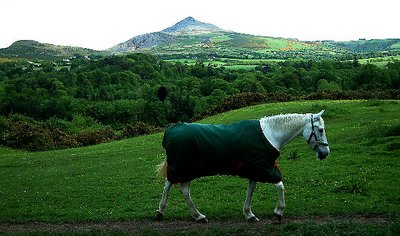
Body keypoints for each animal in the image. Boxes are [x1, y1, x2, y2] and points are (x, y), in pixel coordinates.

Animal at [155, 109, 330, 222]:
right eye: (321, 129)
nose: (325, 153)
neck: (270, 135)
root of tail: (171, 131)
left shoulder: (255, 169)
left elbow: (250, 191)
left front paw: (249, 214)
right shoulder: (264, 168)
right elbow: (280, 185)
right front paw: (278, 212)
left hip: (187, 169)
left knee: (182, 190)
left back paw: (196, 215)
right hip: (182, 168)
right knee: (170, 185)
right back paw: (163, 211)